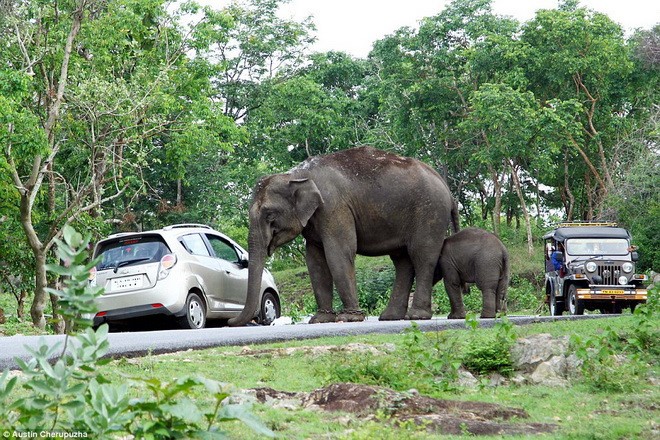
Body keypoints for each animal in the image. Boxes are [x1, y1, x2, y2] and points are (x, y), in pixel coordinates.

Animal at [227, 146, 458, 324]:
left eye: (269, 215)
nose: (229, 320)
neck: (294, 176)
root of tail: (447, 188)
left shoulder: (334, 207)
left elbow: (338, 253)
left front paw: (349, 318)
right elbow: (315, 261)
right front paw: (320, 319)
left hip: (430, 211)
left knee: (422, 256)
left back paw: (416, 316)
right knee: (402, 260)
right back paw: (390, 317)